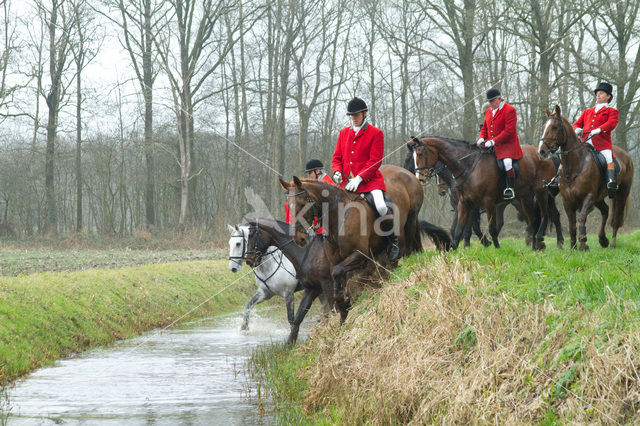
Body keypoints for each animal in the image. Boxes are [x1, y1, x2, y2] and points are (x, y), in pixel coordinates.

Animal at [280, 166, 450, 302]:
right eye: (288, 205)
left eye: (303, 204)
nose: (299, 238)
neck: (339, 216)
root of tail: (407, 172)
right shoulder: (335, 259)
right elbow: (338, 275)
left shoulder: (360, 254)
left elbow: (338, 272)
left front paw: (343, 298)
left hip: (411, 220)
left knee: (408, 249)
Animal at [410, 136, 552, 250]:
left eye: (420, 154)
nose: (420, 179)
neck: (469, 167)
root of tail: (541, 154)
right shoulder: (464, 204)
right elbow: (458, 230)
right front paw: (454, 250)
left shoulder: (486, 203)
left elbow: (485, 228)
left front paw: (494, 247)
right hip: (520, 199)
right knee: (531, 219)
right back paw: (535, 244)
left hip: (536, 193)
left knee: (540, 216)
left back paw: (537, 240)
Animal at [536, 105, 632, 250]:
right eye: (543, 127)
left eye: (554, 127)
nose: (541, 151)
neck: (575, 165)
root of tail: (626, 156)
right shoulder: (567, 200)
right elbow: (571, 224)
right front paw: (573, 246)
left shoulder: (588, 196)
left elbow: (581, 218)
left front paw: (583, 243)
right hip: (599, 197)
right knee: (605, 211)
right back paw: (602, 239)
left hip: (621, 194)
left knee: (615, 219)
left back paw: (612, 244)